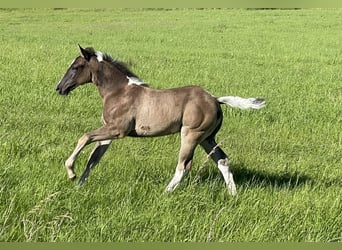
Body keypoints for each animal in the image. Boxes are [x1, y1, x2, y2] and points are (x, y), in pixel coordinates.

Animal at [56, 46, 266, 195]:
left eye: (76, 67)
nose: (60, 88)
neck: (119, 91)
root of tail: (215, 99)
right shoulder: (109, 132)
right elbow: (93, 158)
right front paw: (79, 186)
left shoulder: (118, 130)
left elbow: (84, 137)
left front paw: (71, 173)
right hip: (207, 138)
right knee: (223, 161)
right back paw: (233, 195)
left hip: (190, 134)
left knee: (183, 166)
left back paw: (165, 193)